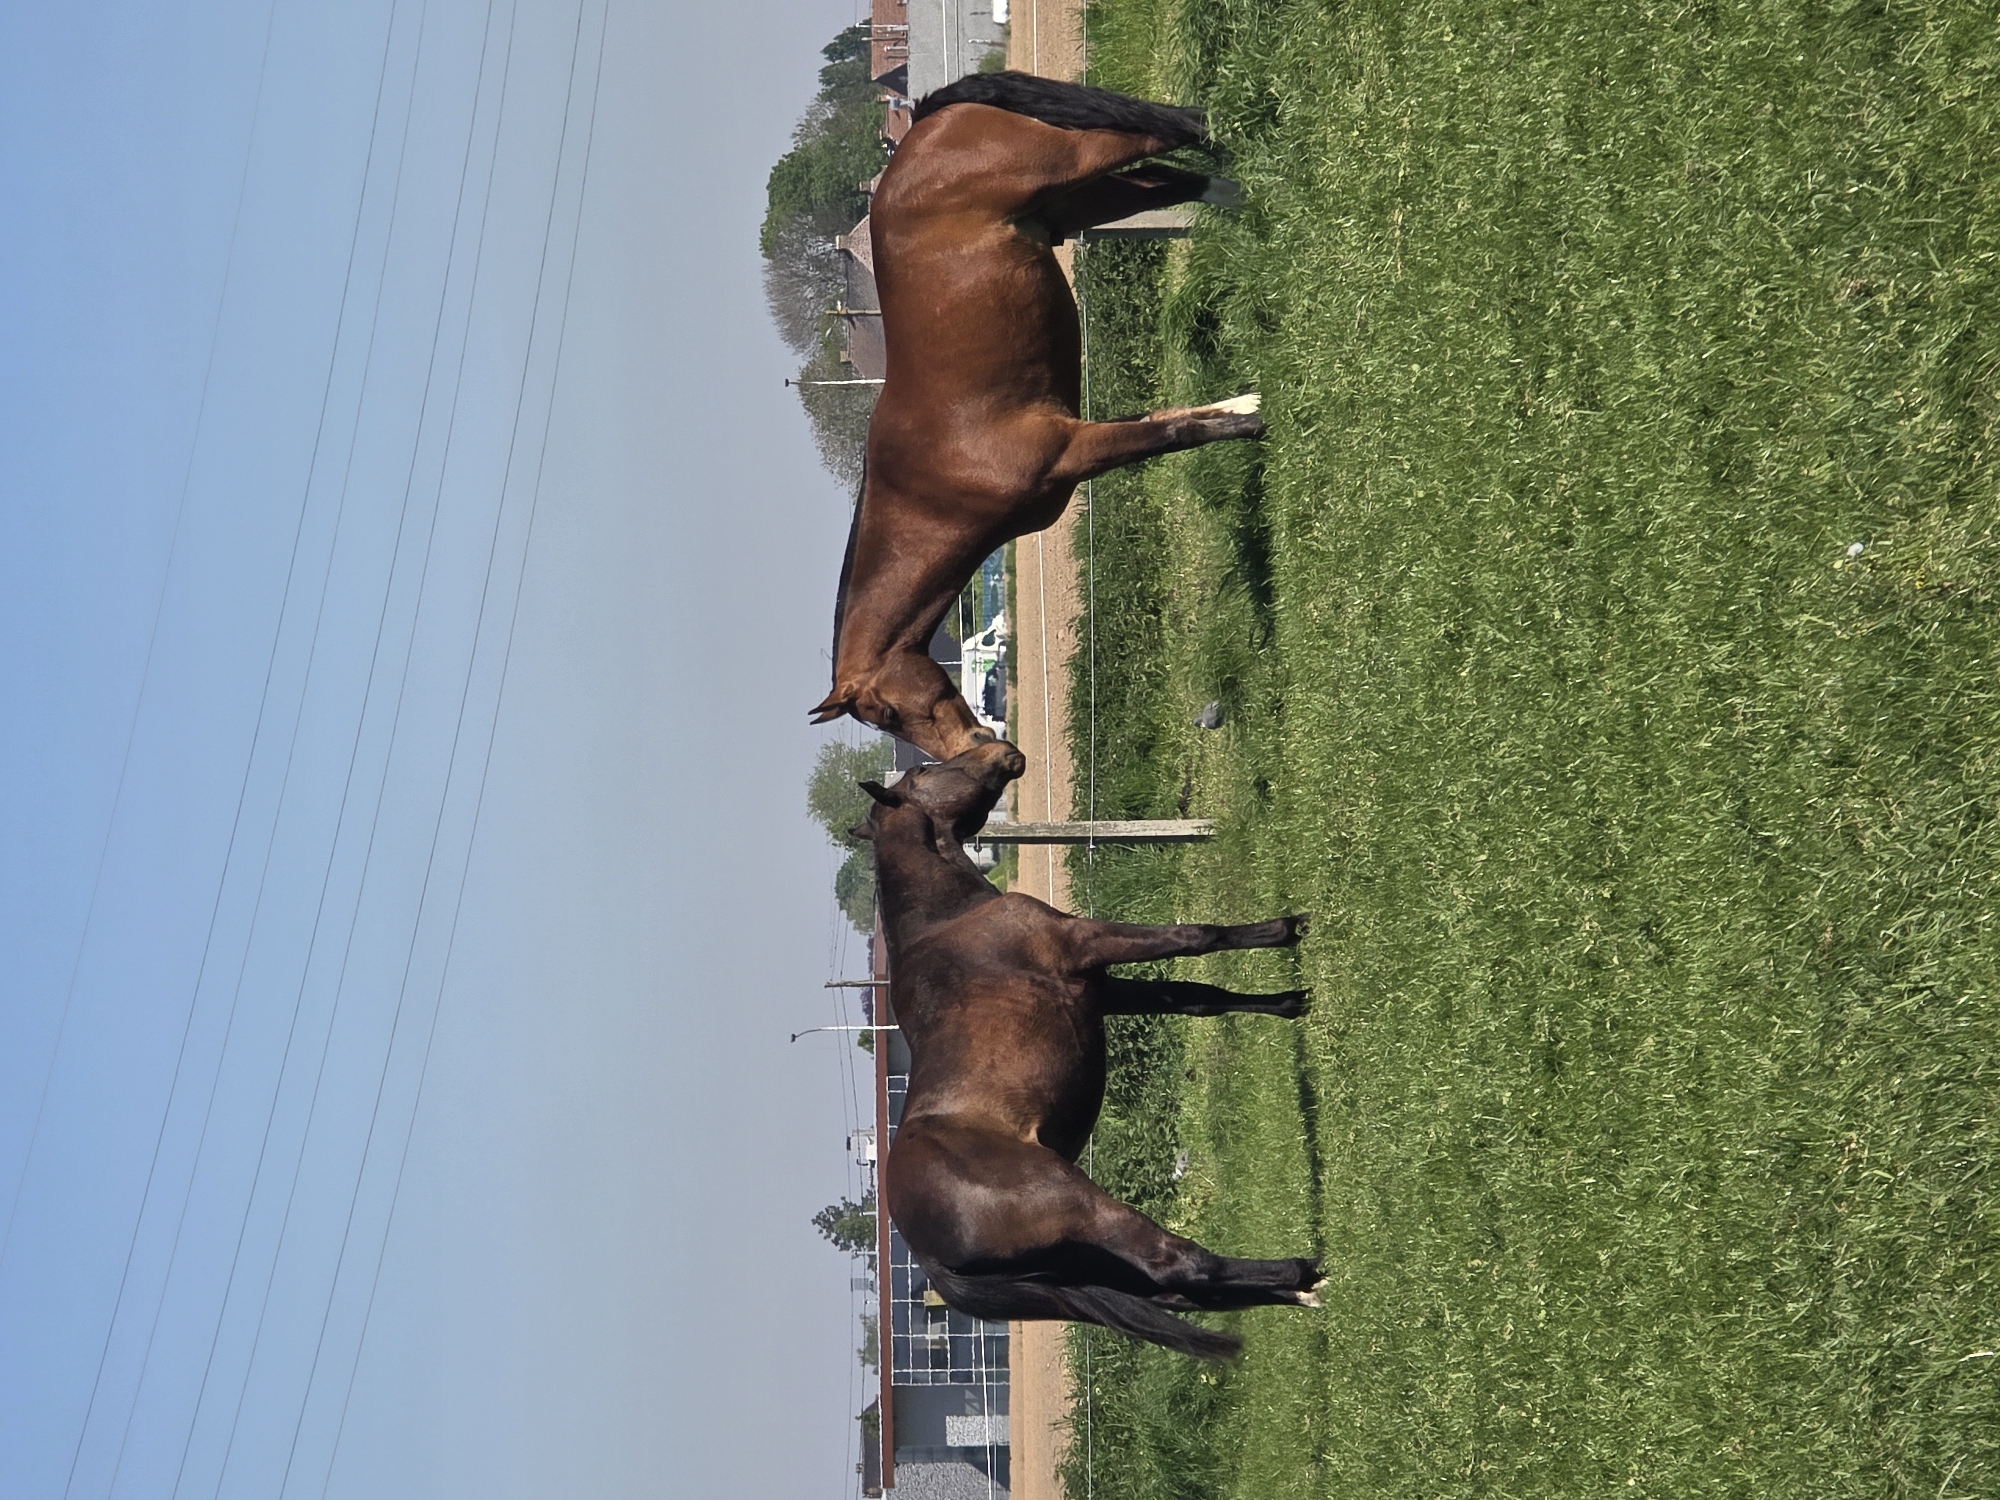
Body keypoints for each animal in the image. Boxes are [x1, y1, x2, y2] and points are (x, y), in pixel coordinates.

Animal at [812, 72, 1267, 762]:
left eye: (886, 711)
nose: (996, 753)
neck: (934, 481)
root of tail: (923, 122)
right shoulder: (1084, 433)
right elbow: (1175, 418)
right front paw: (1249, 402)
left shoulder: (1072, 449)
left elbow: (1174, 432)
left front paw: (1260, 420)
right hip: (1080, 201)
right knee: (1175, 180)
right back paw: (1256, 193)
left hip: (1075, 163)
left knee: (1173, 130)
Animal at [853, 742, 1324, 1359]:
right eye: (925, 771)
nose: (1001, 749)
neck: (950, 920)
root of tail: (928, 1259)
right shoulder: (1087, 943)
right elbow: (1197, 937)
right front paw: (1289, 927)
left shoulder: (1103, 992)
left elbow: (1202, 998)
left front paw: (1292, 1002)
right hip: (1085, 1210)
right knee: (1182, 1266)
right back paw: (1305, 1271)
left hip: (1086, 1264)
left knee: (1181, 1294)